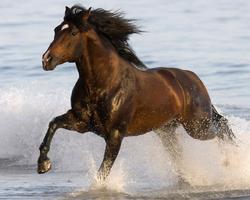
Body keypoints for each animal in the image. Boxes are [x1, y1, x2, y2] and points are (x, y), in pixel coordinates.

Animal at [37, 4, 234, 180]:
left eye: (73, 33)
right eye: (56, 30)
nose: (46, 60)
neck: (103, 84)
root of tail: (193, 78)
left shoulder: (115, 134)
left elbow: (104, 170)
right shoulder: (82, 123)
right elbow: (53, 124)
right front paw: (43, 164)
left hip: (197, 126)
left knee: (222, 127)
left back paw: (230, 162)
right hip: (167, 131)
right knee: (181, 152)